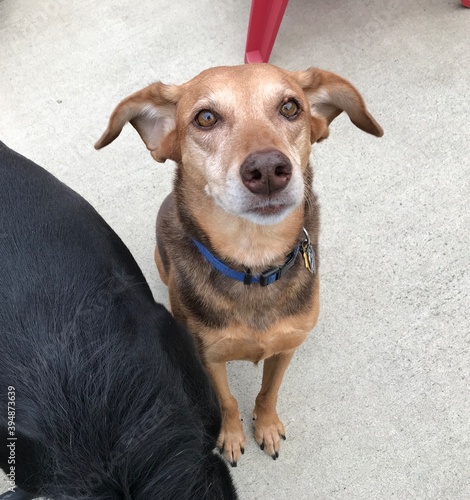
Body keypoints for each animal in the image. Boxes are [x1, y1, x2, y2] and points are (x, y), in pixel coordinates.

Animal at [94, 64, 382, 466]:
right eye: (206, 117)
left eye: (291, 107)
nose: (268, 169)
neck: (255, 260)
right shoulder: (210, 357)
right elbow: (227, 401)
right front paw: (230, 436)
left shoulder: (287, 347)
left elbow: (269, 391)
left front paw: (267, 425)